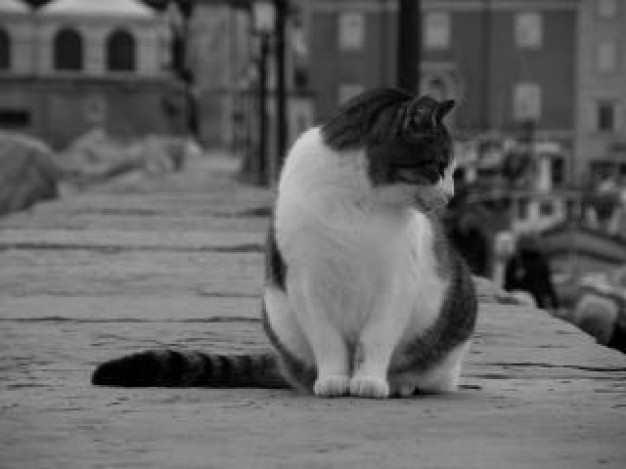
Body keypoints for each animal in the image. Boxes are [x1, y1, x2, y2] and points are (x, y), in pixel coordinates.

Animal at [91, 87, 472, 394]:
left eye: (452, 170)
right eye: (439, 167)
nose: (451, 195)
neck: (359, 195)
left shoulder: (397, 281)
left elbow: (375, 339)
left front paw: (368, 381)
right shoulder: (304, 279)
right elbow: (327, 340)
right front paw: (333, 380)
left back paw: (402, 383)